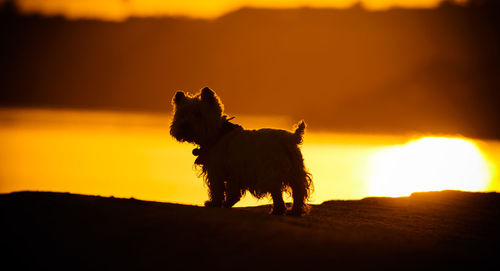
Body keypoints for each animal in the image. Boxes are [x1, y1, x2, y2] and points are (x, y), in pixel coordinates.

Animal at [172, 87, 312, 217]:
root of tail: (290, 138)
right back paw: (295, 212)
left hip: (271, 173)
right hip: (296, 173)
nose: (184, 126)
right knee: (298, 192)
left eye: (198, 114)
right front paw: (227, 203)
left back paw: (278, 210)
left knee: (277, 192)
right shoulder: (234, 175)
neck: (217, 133)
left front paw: (213, 203)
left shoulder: (216, 171)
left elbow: (216, 189)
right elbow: (233, 193)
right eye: (181, 114)